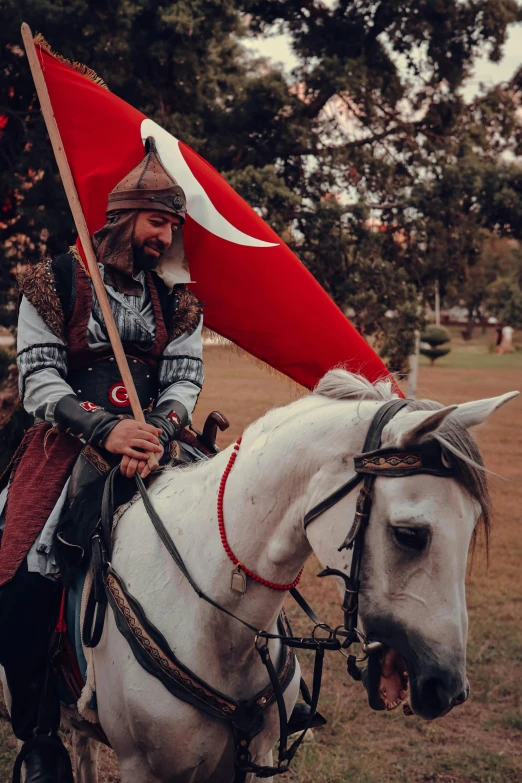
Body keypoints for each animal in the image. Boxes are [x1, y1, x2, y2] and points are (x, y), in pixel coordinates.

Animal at [6, 372, 516, 783]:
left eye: (472, 526)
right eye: (409, 534)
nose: (446, 688)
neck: (214, 618)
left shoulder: (255, 757)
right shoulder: (143, 768)